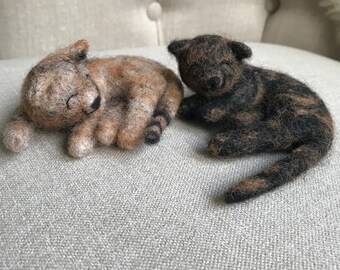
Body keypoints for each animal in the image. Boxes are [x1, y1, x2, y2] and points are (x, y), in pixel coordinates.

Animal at [2, 38, 183, 156]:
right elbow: (18, 118)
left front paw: (79, 142)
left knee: (143, 100)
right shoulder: (26, 108)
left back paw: (130, 133)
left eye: (87, 77)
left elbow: (88, 123)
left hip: (144, 80)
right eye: (70, 100)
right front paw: (15, 136)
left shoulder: (100, 92)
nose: (96, 101)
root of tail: (163, 69)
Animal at [169, 34, 334, 204]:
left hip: (291, 108)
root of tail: (327, 129)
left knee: (275, 133)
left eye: (225, 63)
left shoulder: (249, 90)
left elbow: (226, 102)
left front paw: (209, 111)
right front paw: (186, 105)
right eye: (196, 66)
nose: (214, 80)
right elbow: (200, 100)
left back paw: (223, 141)